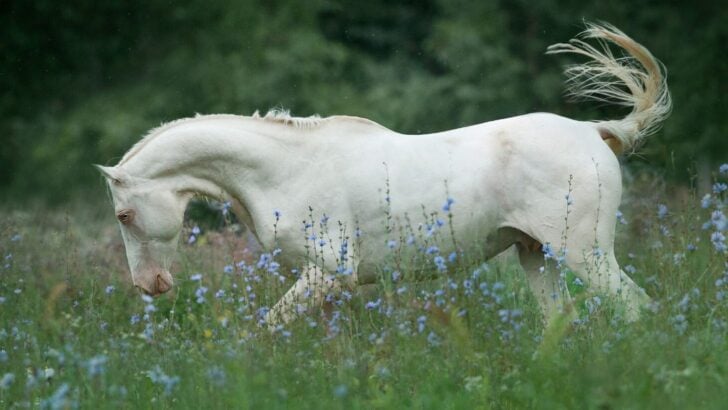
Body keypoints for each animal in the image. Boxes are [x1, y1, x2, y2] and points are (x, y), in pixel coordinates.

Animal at [96, 23, 670, 326]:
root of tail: (595, 132)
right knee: (560, 322)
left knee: (637, 308)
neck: (283, 170)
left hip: (584, 254)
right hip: (536, 254)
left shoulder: (329, 273)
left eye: (124, 215)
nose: (149, 286)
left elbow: (264, 329)